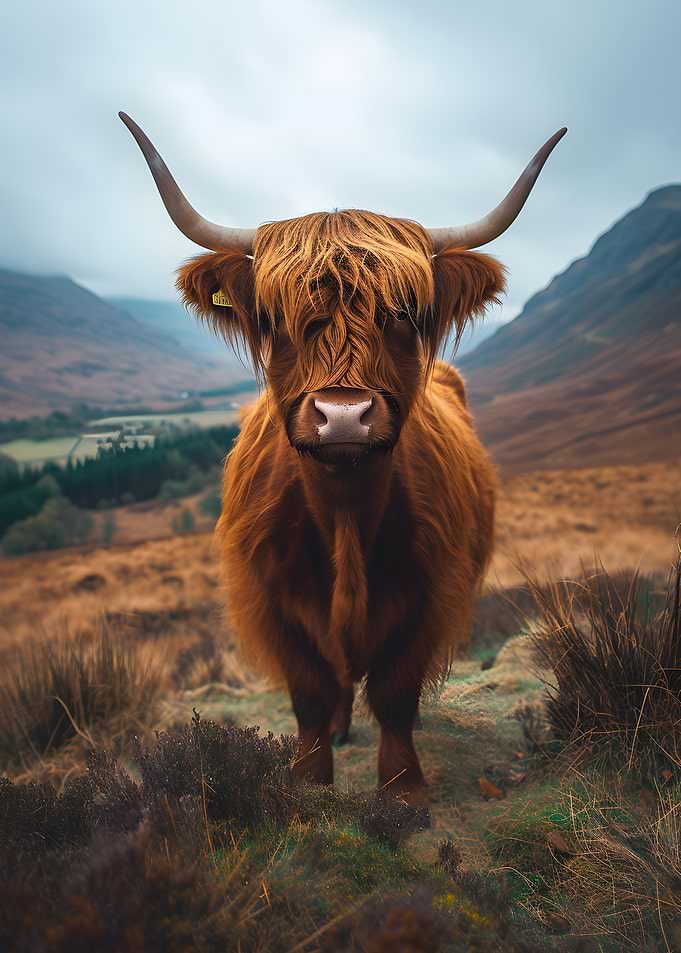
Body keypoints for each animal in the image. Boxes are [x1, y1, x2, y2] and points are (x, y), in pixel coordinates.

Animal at [120, 113, 565, 808]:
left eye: (403, 314)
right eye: (274, 317)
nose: (345, 415)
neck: (346, 517)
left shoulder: (432, 593)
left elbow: (395, 693)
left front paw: (405, 793)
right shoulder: (271, 601)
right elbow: (309, 693)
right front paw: (308, 785)